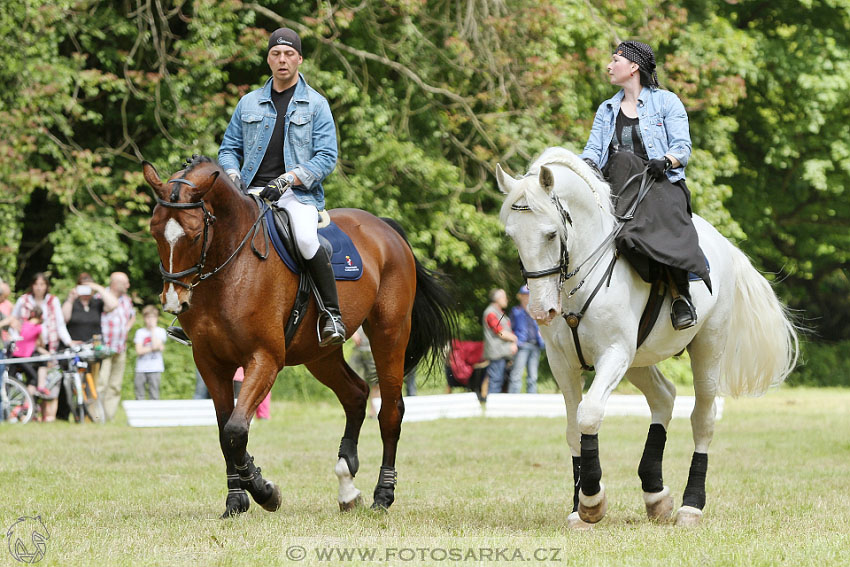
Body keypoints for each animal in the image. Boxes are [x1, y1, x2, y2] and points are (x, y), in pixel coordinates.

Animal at [142, 155, 454, 520]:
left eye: (193, 236)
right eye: (155, 232)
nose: (173, 301)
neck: (231, 267)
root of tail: (386, 229)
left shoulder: (264, 359)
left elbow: (235, 430)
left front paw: (264, 492)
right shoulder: (210, 362)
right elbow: (226, 433)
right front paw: (237, 500)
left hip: (389, 334)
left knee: (390, 411)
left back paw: (382, 495)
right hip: (319, 354)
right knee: (356, 394)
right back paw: (347, 487)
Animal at [494, 146, 800, 528]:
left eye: (551, 233)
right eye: (512, 236)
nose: (540, 310)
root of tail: (723, 244)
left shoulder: (613, 353)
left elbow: (589, 414)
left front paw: (592, 501)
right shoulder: (562, 362)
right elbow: (573, 429)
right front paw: (579, 509)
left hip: (706, 348)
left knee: (703, 418)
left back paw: (690, 506)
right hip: (637, 360)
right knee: (664, 398)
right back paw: (656, 495)